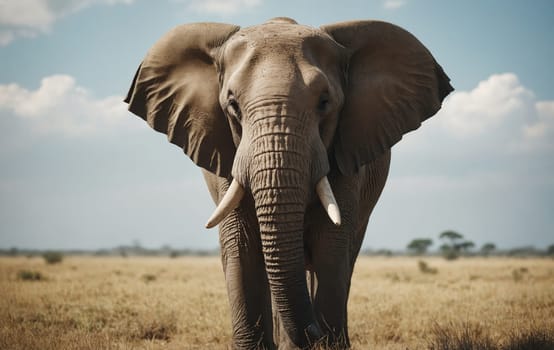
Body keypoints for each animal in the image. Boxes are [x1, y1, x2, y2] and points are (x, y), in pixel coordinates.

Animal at [125, 15, 452, 348]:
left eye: (324, 102)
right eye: (233, 105)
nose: (314, 331)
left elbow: (330, 247)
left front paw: (328, 339)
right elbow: (241, 248)